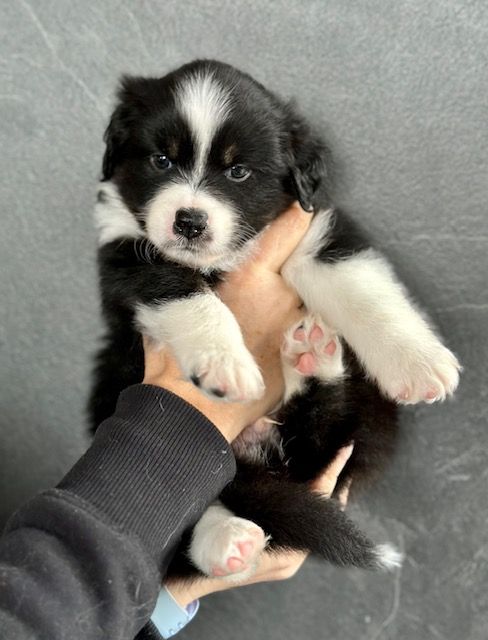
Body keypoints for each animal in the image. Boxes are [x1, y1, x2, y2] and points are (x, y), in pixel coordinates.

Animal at [89, 59, 460, 579]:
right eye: (160, 160)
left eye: (238, 171)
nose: (189, 221)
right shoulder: (128, 253)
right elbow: (188, 294)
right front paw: (225, 364)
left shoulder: (319, 233)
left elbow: (362, 290)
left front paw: (419, 364)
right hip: (116, 377)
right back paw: (226, 540)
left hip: (368, 419)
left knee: (317, 447)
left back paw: (314, 361)